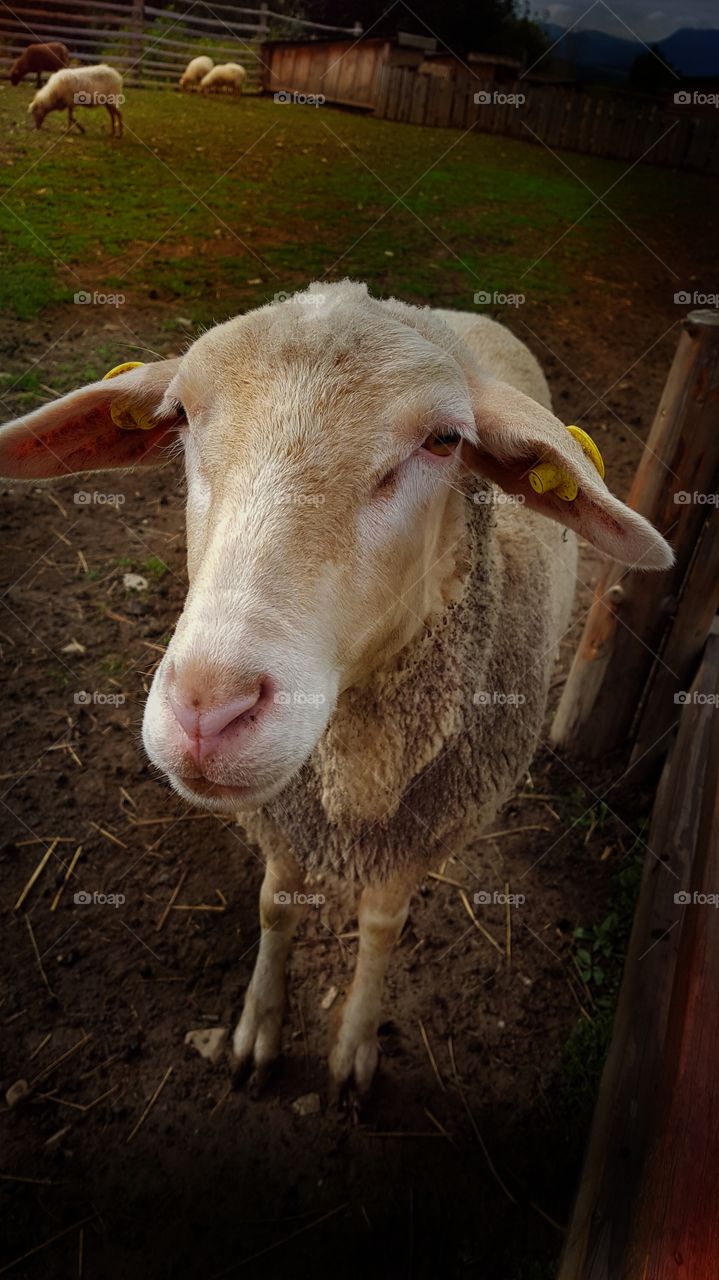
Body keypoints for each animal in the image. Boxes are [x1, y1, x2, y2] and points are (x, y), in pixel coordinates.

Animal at [0, 281, 671, 1097]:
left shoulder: (422, 834)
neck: (350, 778)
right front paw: (257, 1029)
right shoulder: (282, 817)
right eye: (181, 415)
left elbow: (382, 927)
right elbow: (273, 906)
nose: (208, 711)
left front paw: (354, 1047)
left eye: (444, 441)